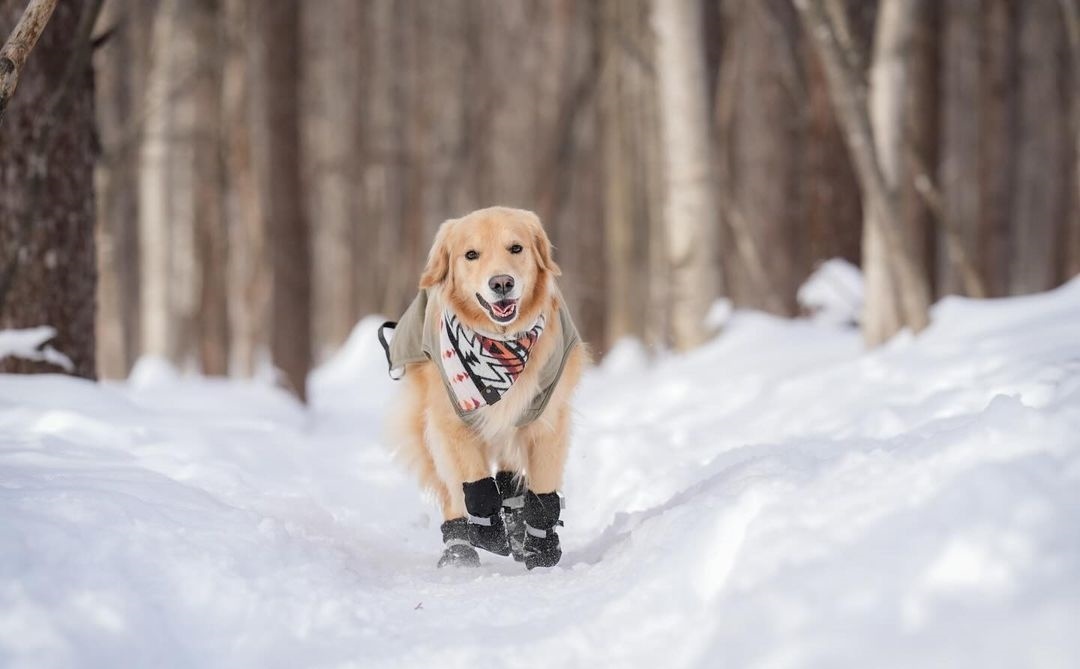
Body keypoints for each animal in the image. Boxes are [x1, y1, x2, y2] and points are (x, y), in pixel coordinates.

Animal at [382, 205, 587, 570]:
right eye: (471, 255)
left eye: (516, 248)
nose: (502, 283)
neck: (501, 343)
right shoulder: (452, 417)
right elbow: (475, 483)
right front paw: (487, 531)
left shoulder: (548, 418)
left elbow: (542, 492)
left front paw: (540, 547)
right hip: (426, 428)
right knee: (452, 492)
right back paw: (458, 550)